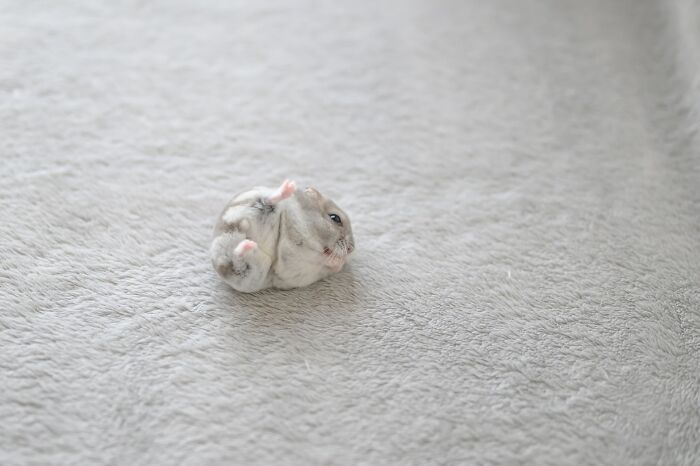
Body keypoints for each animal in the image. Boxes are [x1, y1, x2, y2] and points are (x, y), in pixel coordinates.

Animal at [210, 180, 355, 292]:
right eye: (335, 218)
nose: (351, 249)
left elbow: (331, 265)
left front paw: (338, 262)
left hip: (251, 274)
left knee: (240, 259)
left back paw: (248, 245)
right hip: (258, 207)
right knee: (271, 200)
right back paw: (288, 187)